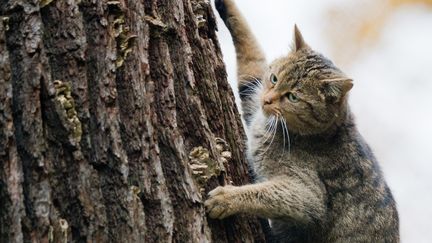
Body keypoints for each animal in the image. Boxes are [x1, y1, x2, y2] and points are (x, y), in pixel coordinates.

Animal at [204, 0, 400, 242]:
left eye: (293, 97)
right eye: (274, 78)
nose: (267, 100)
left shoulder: (308, 195)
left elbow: (265, 194)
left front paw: (226, 198)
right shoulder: (255, 94)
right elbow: (251, 56)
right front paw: (227, 7)